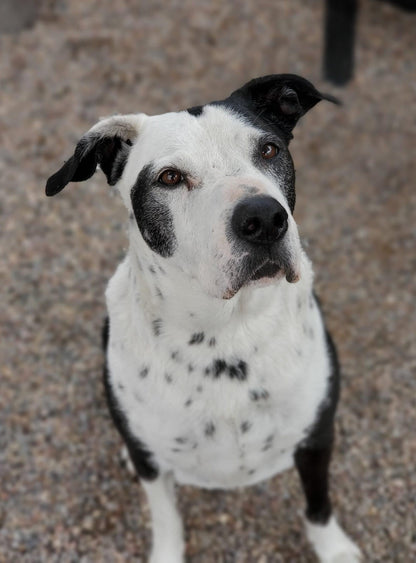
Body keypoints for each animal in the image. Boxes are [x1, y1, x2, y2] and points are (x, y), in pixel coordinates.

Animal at [46, 75, 360, 563]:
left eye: (268, 149)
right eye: (170, 177)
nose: (263, 218)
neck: (225, 334)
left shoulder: (316, 438)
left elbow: (318, 505)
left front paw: (335, 549)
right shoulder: (154, 469)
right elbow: (166, 519)